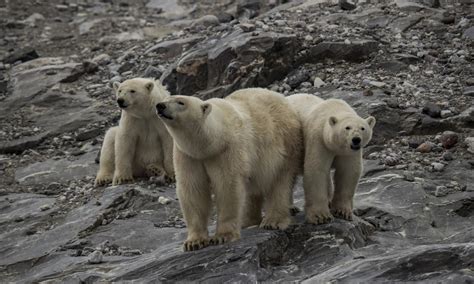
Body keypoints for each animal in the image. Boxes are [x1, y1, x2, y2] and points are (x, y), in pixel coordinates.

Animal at [157, 89, 302, 251]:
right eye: (166, 98)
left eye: (181, 102)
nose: (160, 106)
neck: (211, 142)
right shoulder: (188, 155)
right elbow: (193, 189)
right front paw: (194, 242)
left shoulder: (228, 149)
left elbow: (227, 186)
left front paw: (222, 236)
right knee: (253, 189)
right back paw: (248, 221)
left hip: (284, 144)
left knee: (280, 182)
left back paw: (273, 221)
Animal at [286, 93, 376, 224]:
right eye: (347, 127)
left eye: (362, 128)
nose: (356, 140)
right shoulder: (318, 140)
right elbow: (316, 170)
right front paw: (321, 217)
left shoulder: (349, 152)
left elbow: (348, 173)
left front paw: (342, 212)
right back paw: (290, 208)